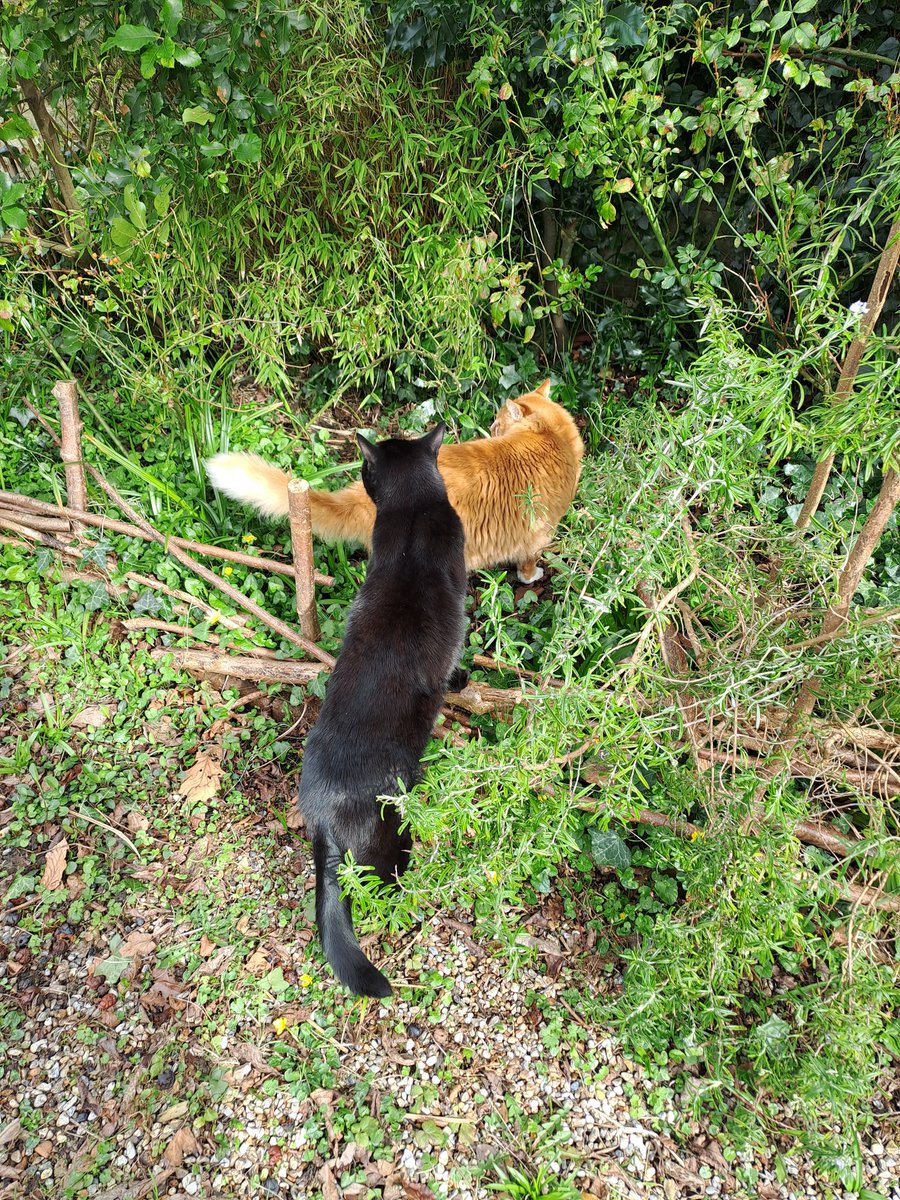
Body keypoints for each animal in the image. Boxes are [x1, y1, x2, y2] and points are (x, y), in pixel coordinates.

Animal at [206, 374, 585, 580]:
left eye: (496, 424)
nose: (490, 428)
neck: (552, 436)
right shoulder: (538, 536)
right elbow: (528, 565)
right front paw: (531, 577)